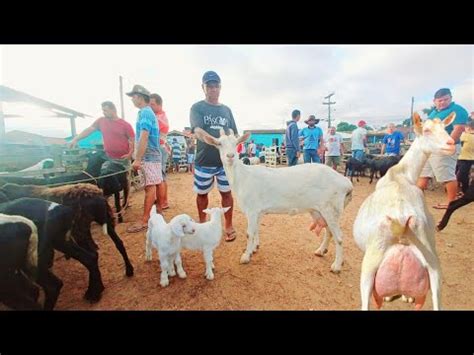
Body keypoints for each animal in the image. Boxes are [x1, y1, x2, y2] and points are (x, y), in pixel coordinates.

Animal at [194, 129, 354, 274]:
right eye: (219, 144)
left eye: (236, 143)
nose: (230, 156)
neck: (242, 177)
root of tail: (346, 183)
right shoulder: (258, 211)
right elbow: (256, 230)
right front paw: (254, 249)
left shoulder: (252, 210)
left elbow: (249, 233)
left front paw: (245, 256)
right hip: (320, 210)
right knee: (329, 231)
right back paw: (321, 251)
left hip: (331, 208)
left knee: (339, 237)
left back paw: (336, 266)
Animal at [354, 112, 458, 310]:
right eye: (427, 130)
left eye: (445, 128)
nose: (451, 144)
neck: (401, 173)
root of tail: (401, 219)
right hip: (433, 264)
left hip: (371, 263)